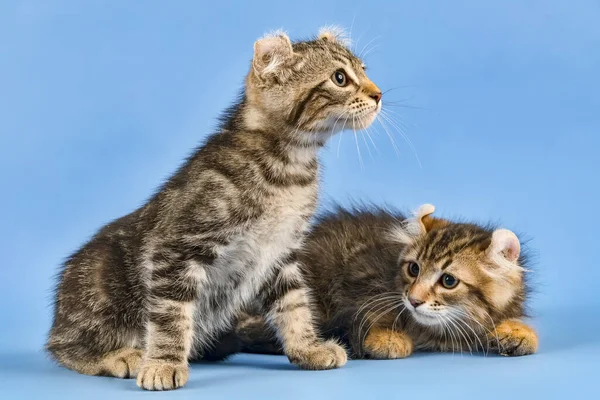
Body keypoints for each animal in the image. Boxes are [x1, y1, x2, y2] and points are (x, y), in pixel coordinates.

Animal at [48, 28, 384, 390]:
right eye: (340, 78)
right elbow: (171, 313)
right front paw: (163, 363)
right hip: (100, 284)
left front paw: (308, 348)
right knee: (64, 347)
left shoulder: (281, 254)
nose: (378, 94)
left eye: (364, 71)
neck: (289, 168)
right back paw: (121, 356)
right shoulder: (176, 247)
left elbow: (294, 304)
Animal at [217, 205, 540, 358]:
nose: (413, 300)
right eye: (413, 269)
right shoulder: (363, 283)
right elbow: (373, 314)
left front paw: (518, 333)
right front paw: (388, 337)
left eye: (449, 281)